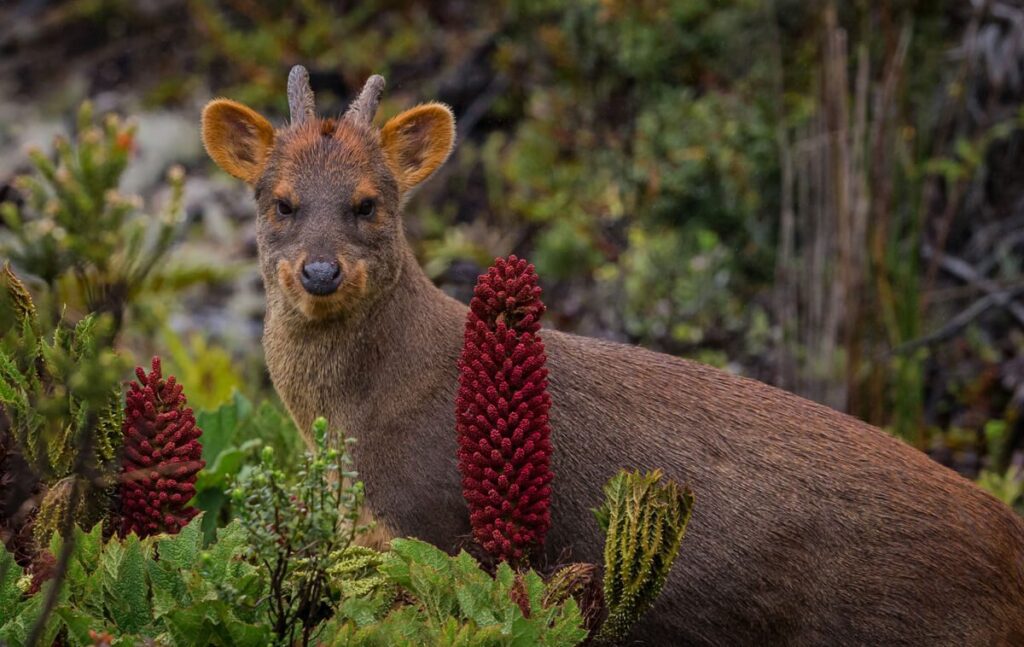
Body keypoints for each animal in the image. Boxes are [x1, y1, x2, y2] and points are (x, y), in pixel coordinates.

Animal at [203, 68, 1024, 642]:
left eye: (369, 203)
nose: (320, 271)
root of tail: (1010, 540)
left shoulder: (432, 523)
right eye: (279, 201)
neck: (363, 421)